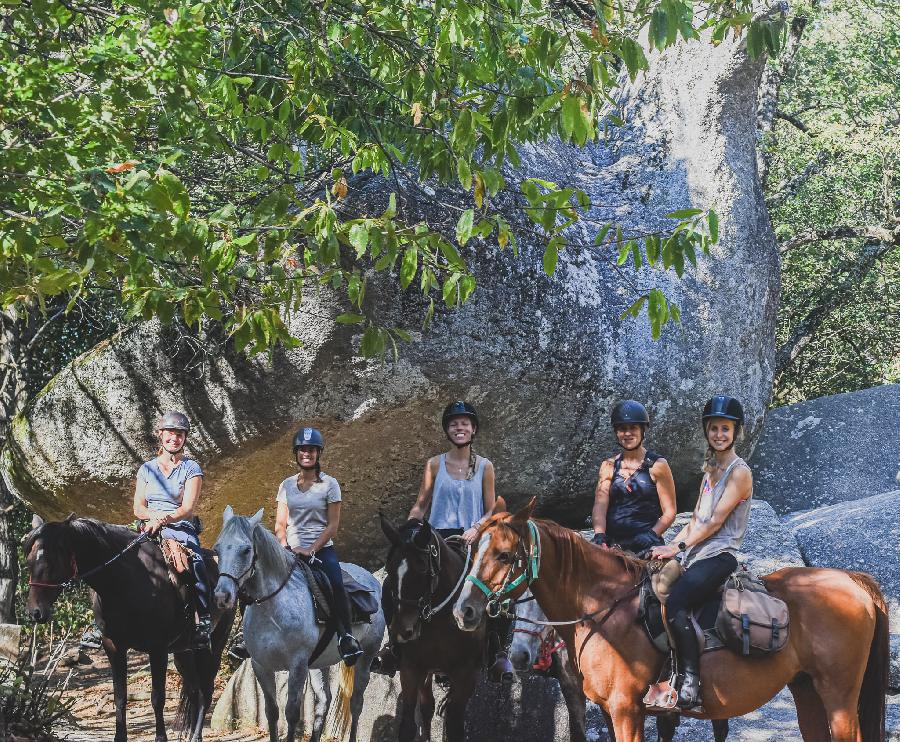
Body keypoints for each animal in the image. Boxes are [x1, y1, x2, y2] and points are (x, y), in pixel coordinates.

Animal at [24, 516, 236, 742]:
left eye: (51, 562)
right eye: (29, 561)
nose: (35, 612)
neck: (125, 580)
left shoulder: (158, 648)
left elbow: (157, 697)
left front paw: (160, 737)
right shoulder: (114, 647)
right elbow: (120, 696)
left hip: (215, 645)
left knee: (206, 690)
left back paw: (196, 736)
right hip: (184, 652)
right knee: (195, 690)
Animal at [213, 506, 384, 742]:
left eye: (246, 550)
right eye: (217, 549)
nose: (222, 596)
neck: (273, 609)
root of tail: (372, 580)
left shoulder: (297, 665)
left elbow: (292, 713)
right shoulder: (261, 665)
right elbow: (272, 712)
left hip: (366, 656)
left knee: (357, 703)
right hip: (319, 664)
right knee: (324, 700)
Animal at [382, 516, 488, 742]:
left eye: (422, 567)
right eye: (389, 568)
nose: (403, 632)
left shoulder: (466, 674)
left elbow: (455, 725)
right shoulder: (412, 667)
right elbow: (409, 724)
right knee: (427, 707)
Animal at [454, 500, 888, 742]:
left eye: (506, 556)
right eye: (474, 551)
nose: (464, 611)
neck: (606, 608)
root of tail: (853, 579)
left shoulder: (627, 710)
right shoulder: (617, 713)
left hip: (838, 694)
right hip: (806, 689)